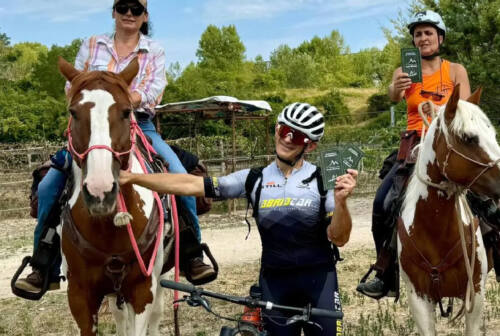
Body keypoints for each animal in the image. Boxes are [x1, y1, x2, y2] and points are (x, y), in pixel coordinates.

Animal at [56, 57, 174, 336]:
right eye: (73, 112)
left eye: (126, 112)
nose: (100, 190)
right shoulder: (79, 296)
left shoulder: (143, 290)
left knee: (156, 315)